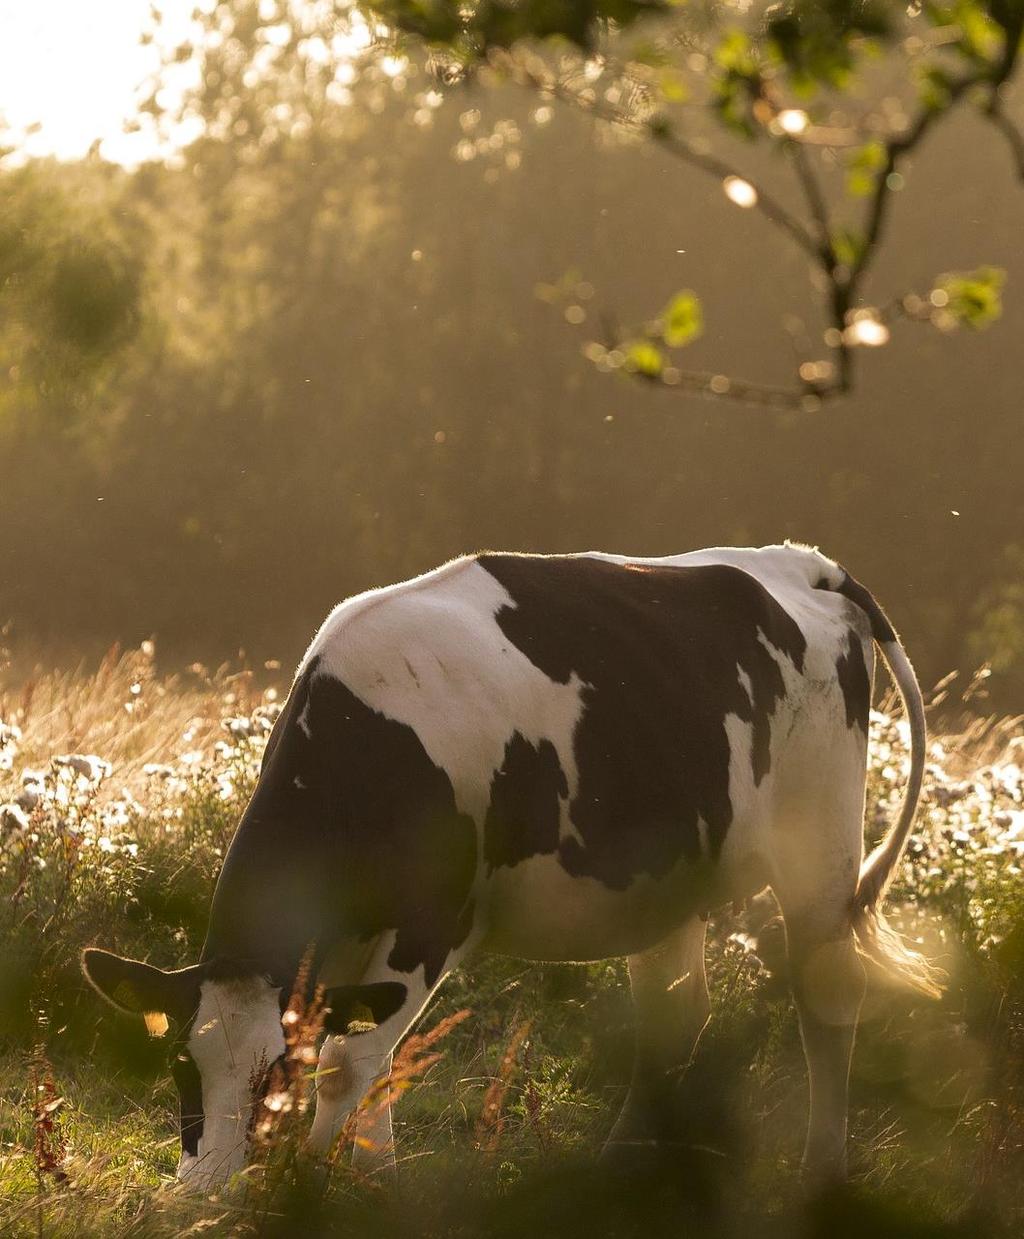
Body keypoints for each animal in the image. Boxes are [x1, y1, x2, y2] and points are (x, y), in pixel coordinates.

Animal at [79, 542, 932, 1189]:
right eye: (180, 1065)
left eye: (274, 1078)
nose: (205, 1192)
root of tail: (798, 561)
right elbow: (363, 1062)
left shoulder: (431, 922)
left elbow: (351, 1062)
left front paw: (336, 1186)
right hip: (669, 882)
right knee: (677, 1016)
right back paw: (625, 1167)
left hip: (819, 851)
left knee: (827, 1001)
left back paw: (822, 1170)